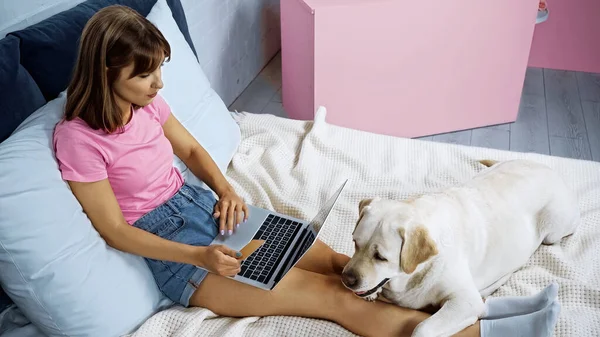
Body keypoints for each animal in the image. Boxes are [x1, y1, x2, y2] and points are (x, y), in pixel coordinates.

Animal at [342, 159, 580, 336]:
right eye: (355, 243)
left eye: (380, 257)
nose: (346, 279)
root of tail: (547, 167)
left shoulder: (466, 301)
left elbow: (422, 328)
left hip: (553, 232)